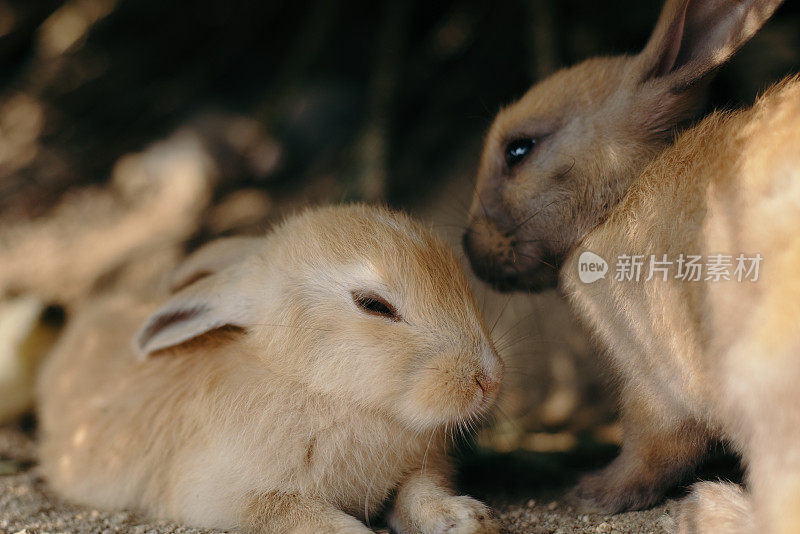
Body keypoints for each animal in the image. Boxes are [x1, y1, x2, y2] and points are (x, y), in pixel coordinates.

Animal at [37, 206, 504, 534]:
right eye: (373, 305)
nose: (490, 380)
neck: (317, 387)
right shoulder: (232, 495)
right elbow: (300, 515)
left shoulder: (417, 472)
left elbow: (420, 493)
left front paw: (465, 518)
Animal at [462, 0, 788, 528]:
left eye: (519, 150)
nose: (470, 246)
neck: (625, 191)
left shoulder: (654, 380)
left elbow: (651, 449)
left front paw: (593, 492)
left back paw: (710, 509)